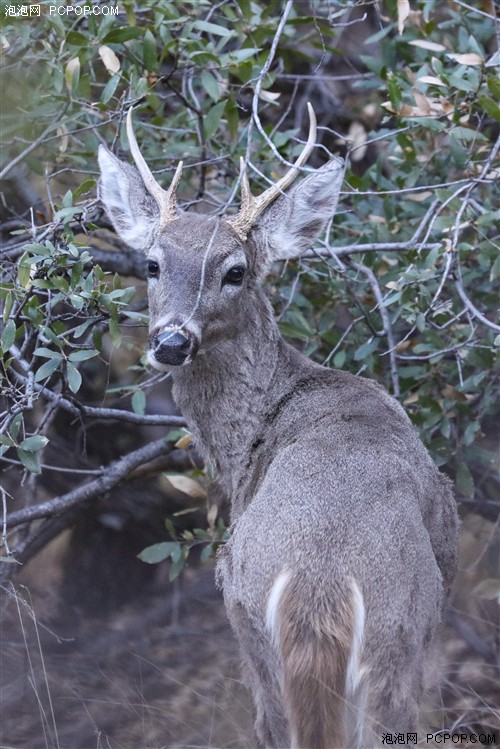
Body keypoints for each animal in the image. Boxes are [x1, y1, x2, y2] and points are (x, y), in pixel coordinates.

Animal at [96, 105, 458, 748]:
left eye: (236, 271)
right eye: (152, 264)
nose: (171, 341)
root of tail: (319, 589)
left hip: (269, 621)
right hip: (387, 642)